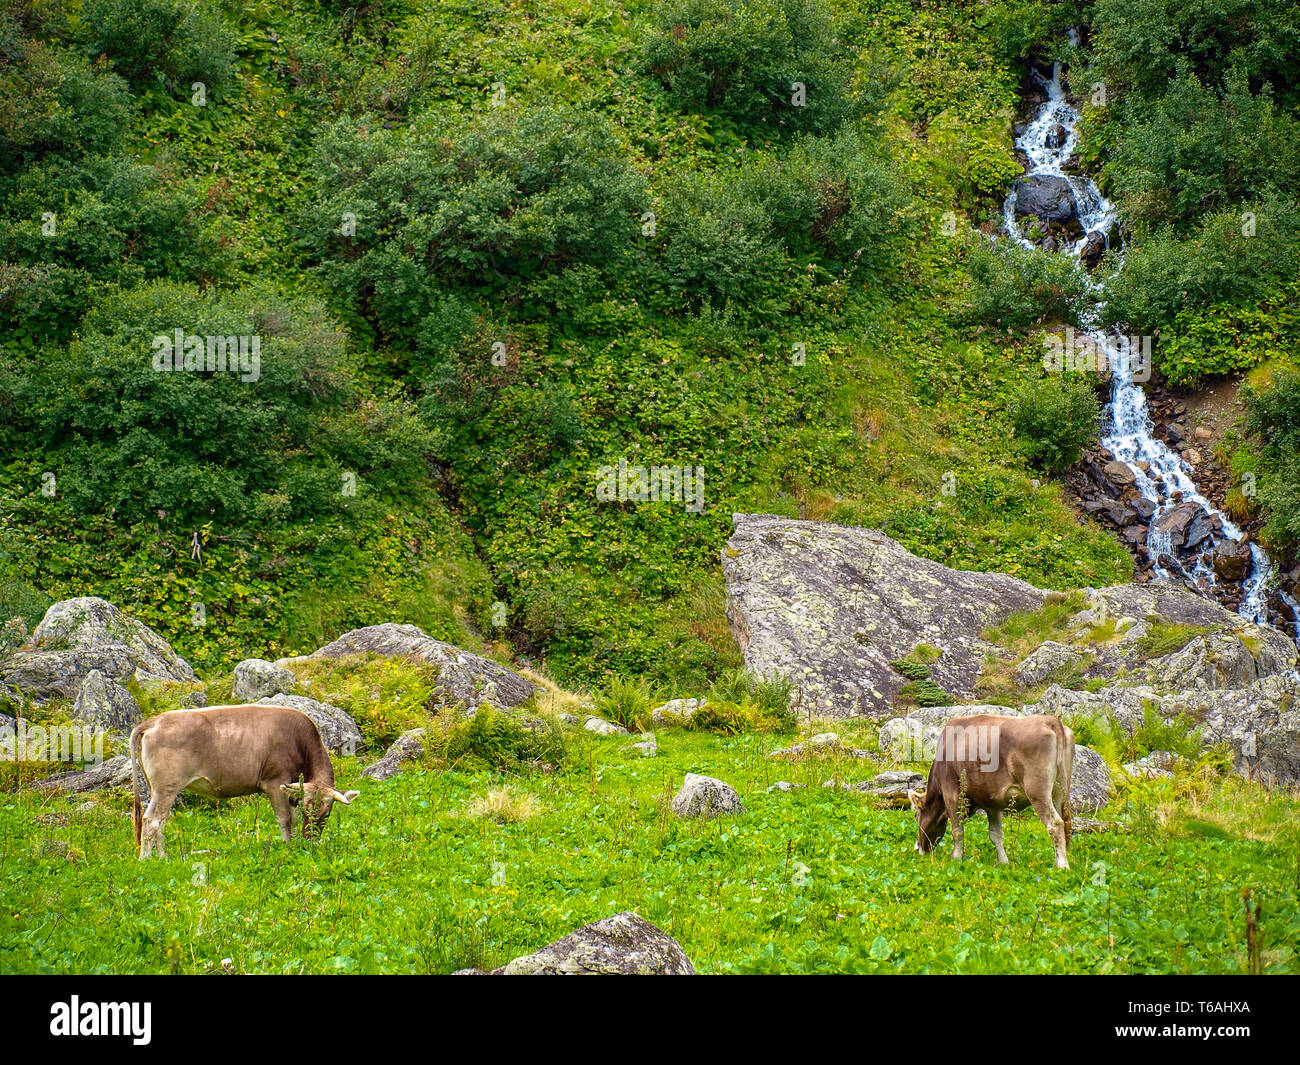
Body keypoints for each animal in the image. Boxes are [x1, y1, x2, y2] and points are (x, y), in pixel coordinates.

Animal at [131, 704, 359, 859]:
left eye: (326, 814)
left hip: (158, 789)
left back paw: (164, 858)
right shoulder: (275, 781)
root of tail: (154, 721)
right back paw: (148, 860)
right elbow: (285, 819)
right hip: (166, 788)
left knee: (161, 822)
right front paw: (288, 847)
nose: (311, 841)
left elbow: (292, 818)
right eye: (307, 811)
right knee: (151, 820)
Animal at [908, 713, 1074, 869]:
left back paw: (1062, 866)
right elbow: (995, 834)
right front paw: (1003, 862)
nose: (918, 848)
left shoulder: (952, 794)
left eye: (917, 816)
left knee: (1055, 824)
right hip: (1060, 791)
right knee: (1064, 821)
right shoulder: (991, 801)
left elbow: (957, 830)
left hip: (1037, 791)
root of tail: (1050, 720)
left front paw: (955, 859)